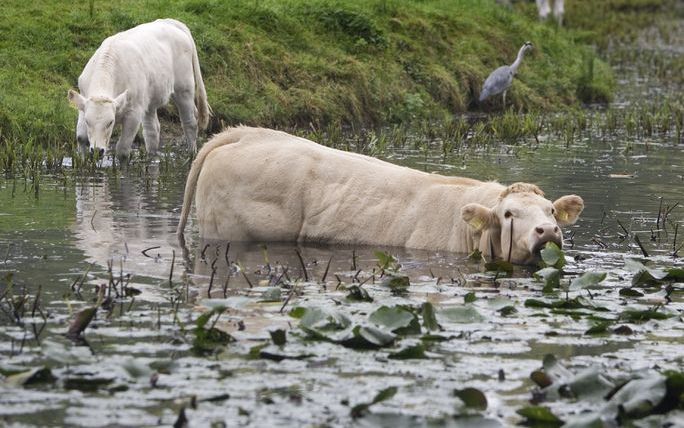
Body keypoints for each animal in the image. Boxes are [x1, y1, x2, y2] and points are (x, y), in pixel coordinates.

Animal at [67, 18, 211, 159]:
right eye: (87, 122)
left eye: (110, 122)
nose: (98, 150)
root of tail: (170, 22)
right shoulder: (83, 102)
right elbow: (81, 137)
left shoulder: (134, 113)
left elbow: (122, 150)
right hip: (150, 97)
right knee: (152, 130)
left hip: (184, 87)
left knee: (190, 122)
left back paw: (192, 155)